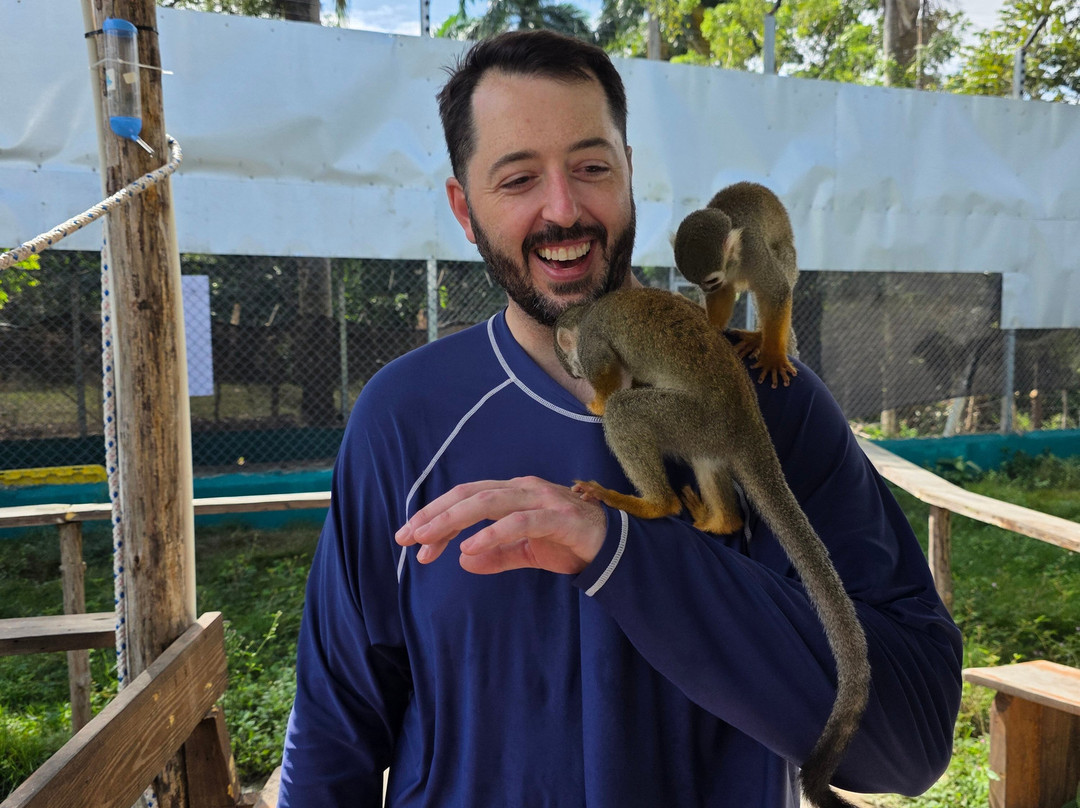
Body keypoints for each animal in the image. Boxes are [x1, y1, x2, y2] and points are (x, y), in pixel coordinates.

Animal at [553, 286, 869, 808]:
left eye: (570, 360)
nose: (573, 374)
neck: (592, 307)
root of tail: (749, 424)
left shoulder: (596, 337)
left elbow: (612, 378)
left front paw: (597, 398)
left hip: (696, 421)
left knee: (630, 412)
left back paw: (652, 503)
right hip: (707, 433)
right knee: (706, 461)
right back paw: (717, 518)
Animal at [673, 181, 799, 388]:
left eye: (711, 280)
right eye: (698, 283)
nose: (708, 289)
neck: (733, 262)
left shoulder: (752, 250)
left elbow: (776, 292)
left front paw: (773, 357)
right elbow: (723, 292)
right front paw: (713, 328)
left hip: (790, 263)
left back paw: (759, 336)